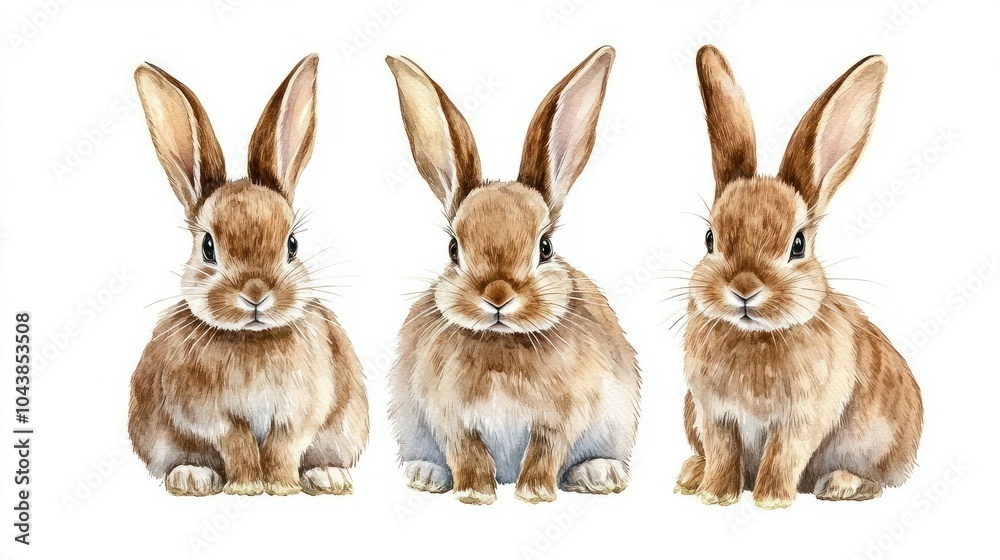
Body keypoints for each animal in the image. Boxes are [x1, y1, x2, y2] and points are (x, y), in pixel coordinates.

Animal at [128, 54, 369, 497]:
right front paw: (245, 487)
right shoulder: (212, 416)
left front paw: (282, 487)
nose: (255, 292)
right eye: (208, 246)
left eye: (292, 245)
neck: (251, 339)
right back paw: (192, 477)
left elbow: (282, 447)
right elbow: (237, 444)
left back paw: (327, 476)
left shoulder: (299, 412)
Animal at [385, 46, 640, 505]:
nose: (498, 295)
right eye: (453, 249)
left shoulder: (559, 419)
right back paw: (426, 474)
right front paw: (476, 495)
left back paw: (599, 474)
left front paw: (534, 494)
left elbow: (544, 453)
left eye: (546, 247)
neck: (501, 343)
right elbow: (467, 454)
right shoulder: (450, 420)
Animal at [674, 45, 923, 509]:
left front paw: (771, 501)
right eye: (710, 238)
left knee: (876, 482)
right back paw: (691, 475)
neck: (754, 336)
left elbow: (783, 456)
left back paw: (841, 485)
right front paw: (715, 496)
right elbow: (723, 454)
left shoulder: (801, 420)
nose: (745, 289)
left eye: (798, 245)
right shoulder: (713, 414)